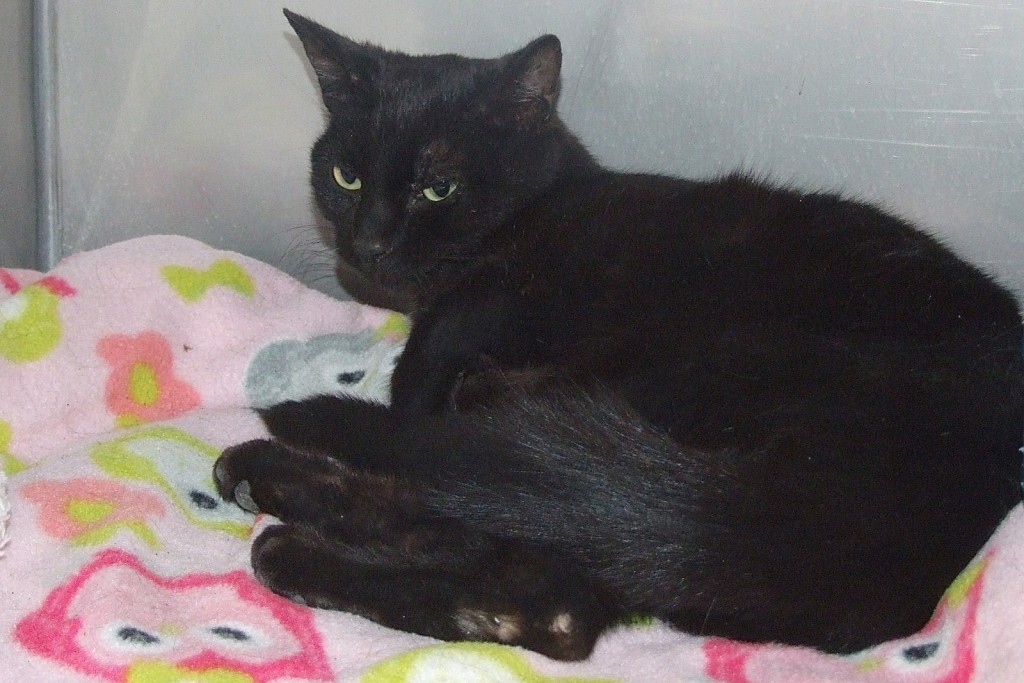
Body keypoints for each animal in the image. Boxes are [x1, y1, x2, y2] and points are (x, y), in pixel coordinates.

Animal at [214, 9, 1024, 661]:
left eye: (437, 187)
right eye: (346, 177)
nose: (371, 244)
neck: (529, 216)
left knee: (477, 504)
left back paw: (273, 493)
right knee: (546, 600)